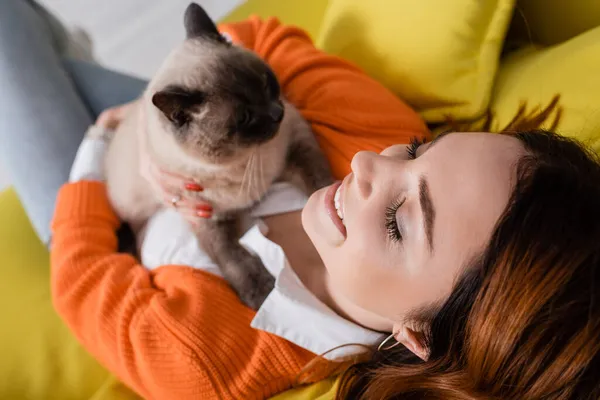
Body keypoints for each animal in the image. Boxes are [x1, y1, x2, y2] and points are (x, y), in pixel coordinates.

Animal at [106, 3, 332, 310]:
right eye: (245, 118)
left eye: (265, 83)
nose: (277, 113)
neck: (247, 162)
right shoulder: (207, 221)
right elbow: (231, 256)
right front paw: (260, 293)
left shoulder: (297, 141)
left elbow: (320, 182)